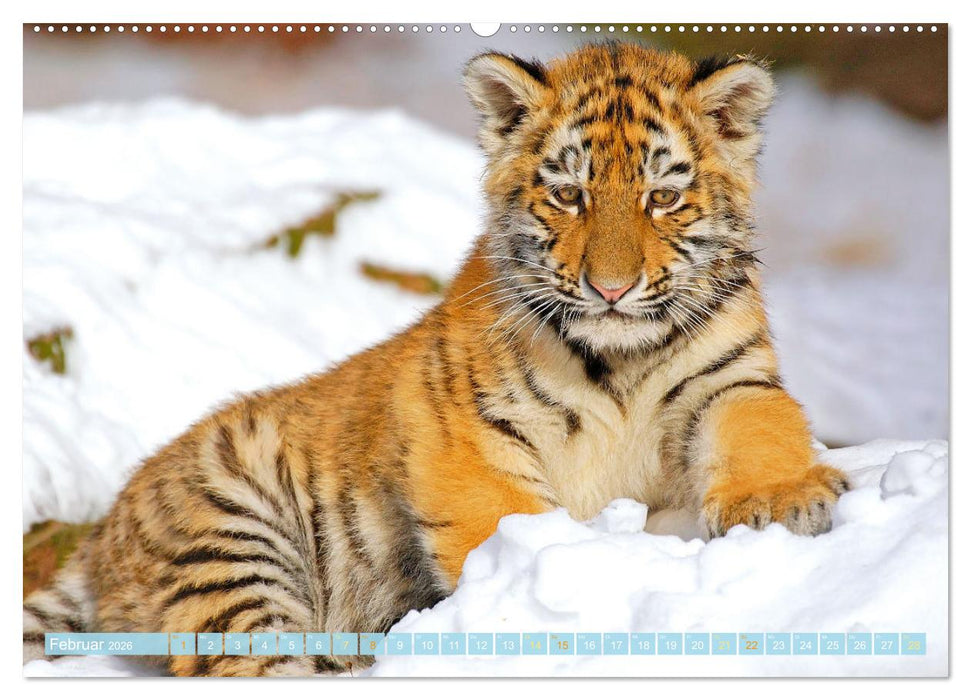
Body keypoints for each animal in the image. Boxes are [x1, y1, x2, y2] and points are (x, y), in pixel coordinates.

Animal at [23, 43, 850, 676]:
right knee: (252, 662)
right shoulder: (466, 430)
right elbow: (507, 519)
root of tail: (99, 539)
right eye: (569, 195)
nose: (610, 288)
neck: (619, 359)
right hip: (230, 532)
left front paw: (778, 502)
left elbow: (759, 427)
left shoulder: (730, 380)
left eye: (661, 198)